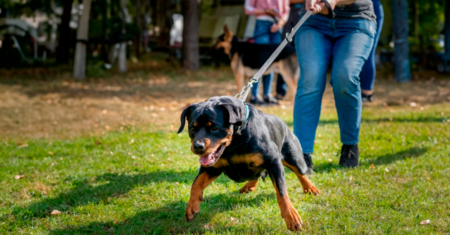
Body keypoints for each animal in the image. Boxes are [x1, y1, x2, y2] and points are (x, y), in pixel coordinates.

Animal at [178, 95, 318, 231]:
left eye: (214, 127)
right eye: (192, 128)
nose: (198, 146)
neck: (235, 141)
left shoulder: (273, 162)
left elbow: (282, 192)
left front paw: (291, 217)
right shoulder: (212, 167)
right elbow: (196, 183)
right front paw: (191, 207)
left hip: (293, 156)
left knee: (301, 172)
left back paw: (310, 188)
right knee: (257, 173)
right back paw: (249, 185)